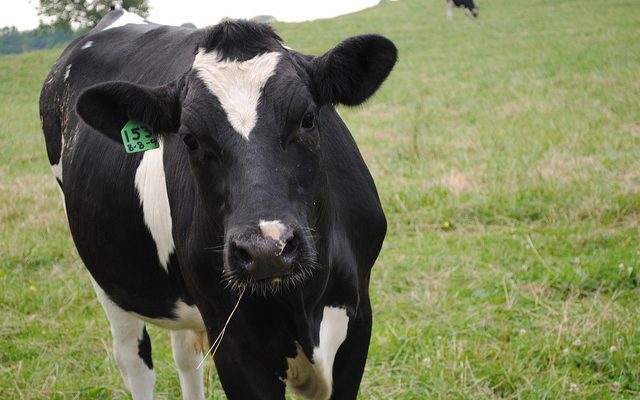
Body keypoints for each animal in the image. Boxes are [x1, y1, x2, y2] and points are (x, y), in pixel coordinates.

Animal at [39, 7, 396, 400]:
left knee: (184, 355)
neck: (300, 303)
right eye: (190, 139)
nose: (266, 250)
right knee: (134, 361)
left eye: (308, 119)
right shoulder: (234, 341)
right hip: (109, 280)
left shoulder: (357, 318)